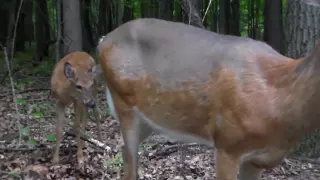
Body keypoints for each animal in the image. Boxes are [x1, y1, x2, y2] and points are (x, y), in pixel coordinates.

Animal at [97, 17, 320, 179]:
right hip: (124, 102)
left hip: (148, 120)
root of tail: (102, 41)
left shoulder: (258, 159)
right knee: (130, 160)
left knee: (125, 152)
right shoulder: (228, 143)